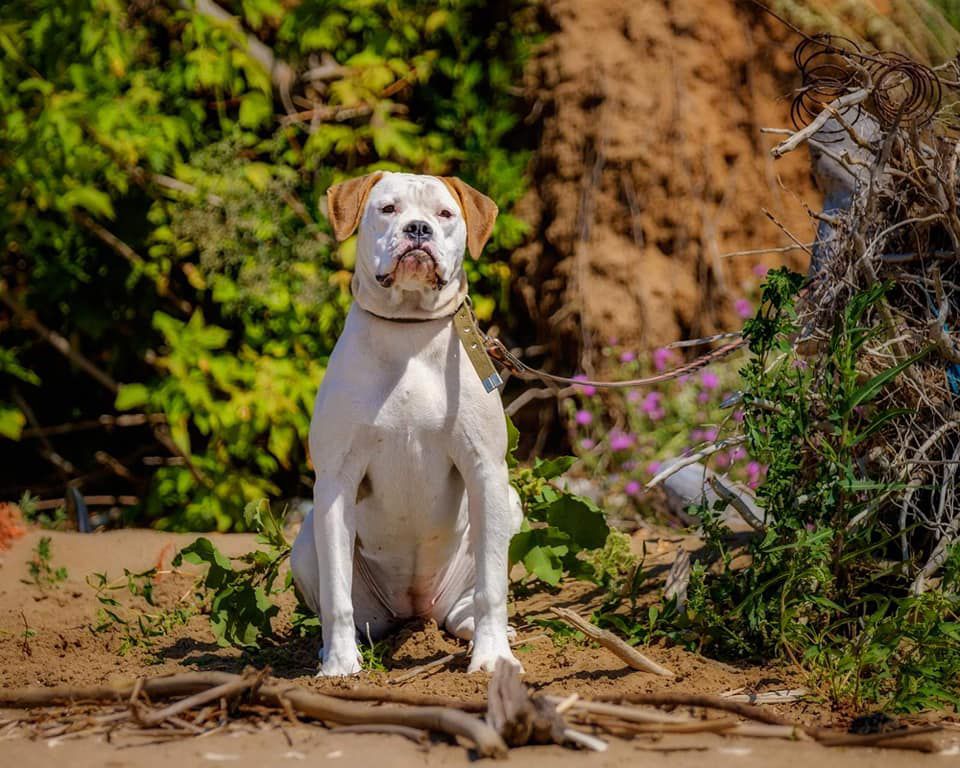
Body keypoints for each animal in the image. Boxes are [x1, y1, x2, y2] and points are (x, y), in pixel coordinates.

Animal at [290, 171, 524, 676]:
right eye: (388, 209)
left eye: (445, 214)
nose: (418, 230)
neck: (409, 329)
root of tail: (417, 610)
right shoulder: (335, 480)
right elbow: (336, 594)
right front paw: (339, 667)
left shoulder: (486, 469)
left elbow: (493, 585)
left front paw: (493, 658)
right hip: (306, 541)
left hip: (508, 506)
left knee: (472, 598)